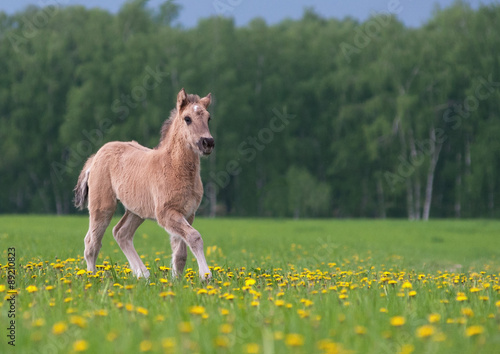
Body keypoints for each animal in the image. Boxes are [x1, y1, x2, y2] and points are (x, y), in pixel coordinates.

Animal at [73, 88, 214, 280]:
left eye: (208, 118)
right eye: (187, 118)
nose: (207, 143)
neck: (174, 167)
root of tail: (95, 157)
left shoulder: (187, 213)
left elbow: (180, 253)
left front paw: (176, 281)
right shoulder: (166, 213)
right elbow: (194, 237)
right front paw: (206, 276)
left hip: (136, 210)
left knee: (121, 233)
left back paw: (143, 275)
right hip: (102, 207)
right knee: (91, 243)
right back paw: (93, 277)